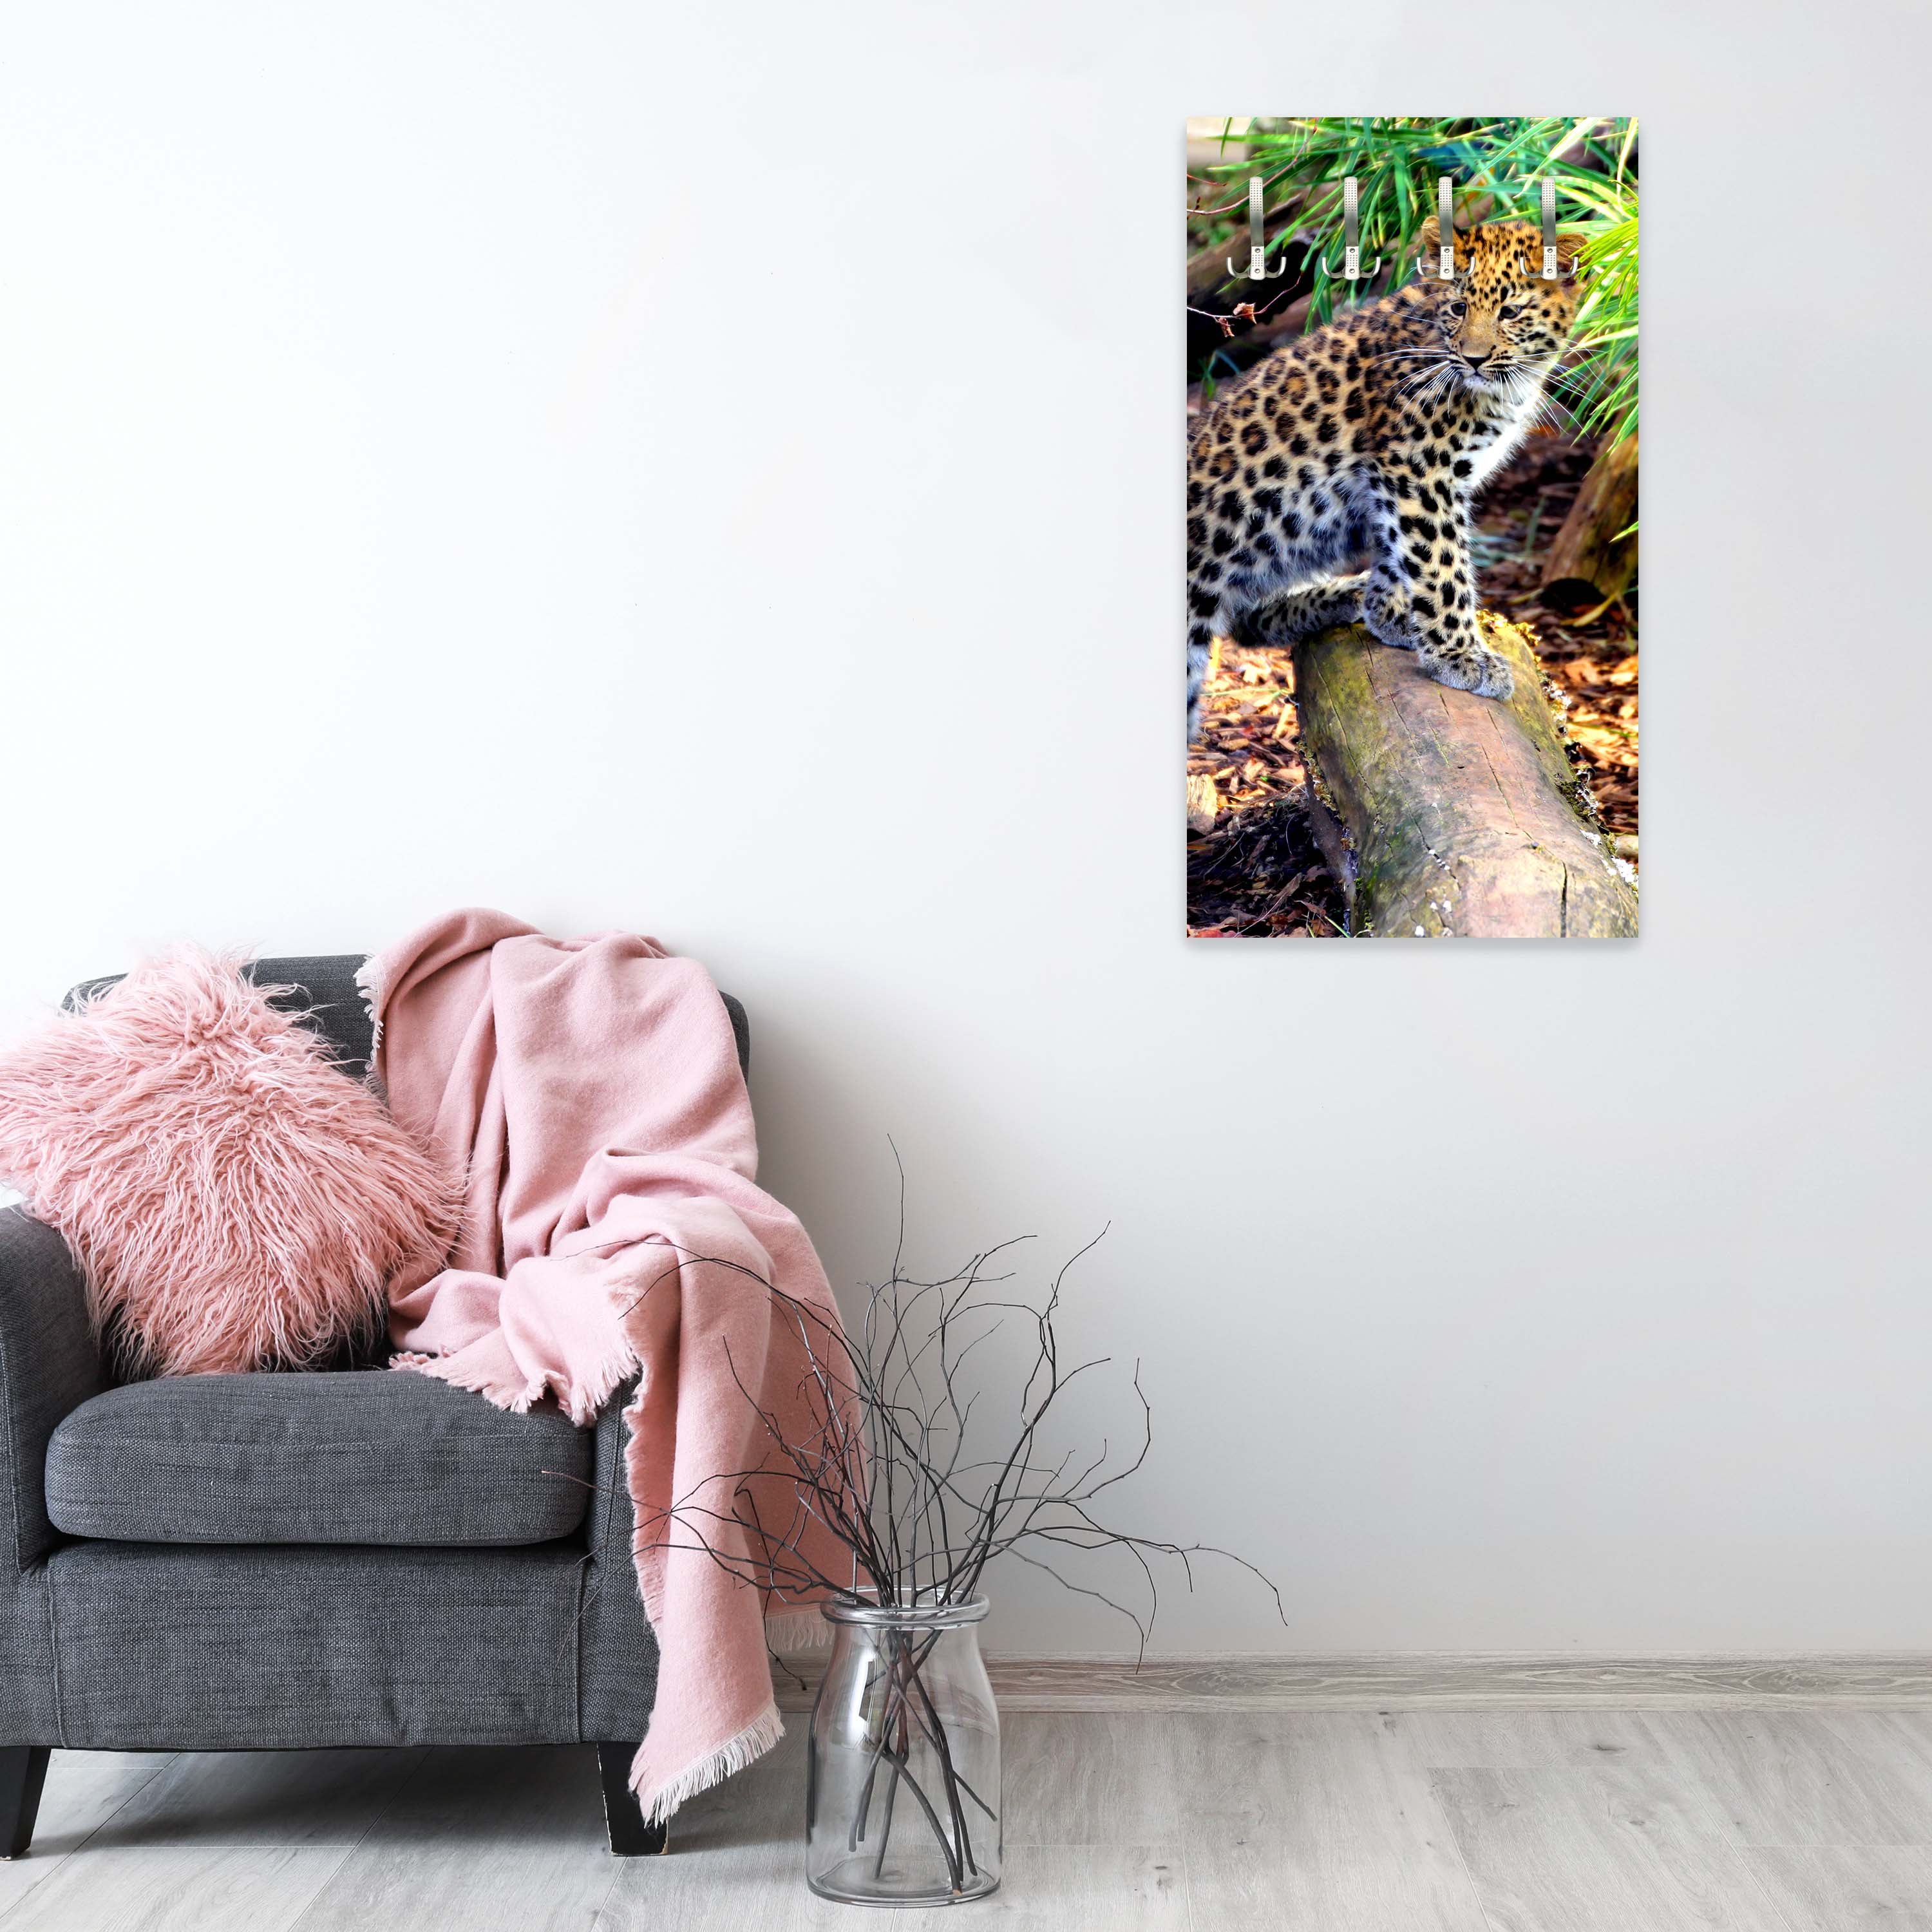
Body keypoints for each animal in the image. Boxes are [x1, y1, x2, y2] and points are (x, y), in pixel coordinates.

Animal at [1187, 213, 1585, 739]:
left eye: (1511, 311)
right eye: (1459, 307)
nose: (1474, 359)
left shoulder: (1403, 484)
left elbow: (1401, 549)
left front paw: (1390, 611)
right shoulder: (1419, 470)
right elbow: (1441, 563)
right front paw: (1461, 656)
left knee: (1248, 619)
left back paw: (1344, 594)